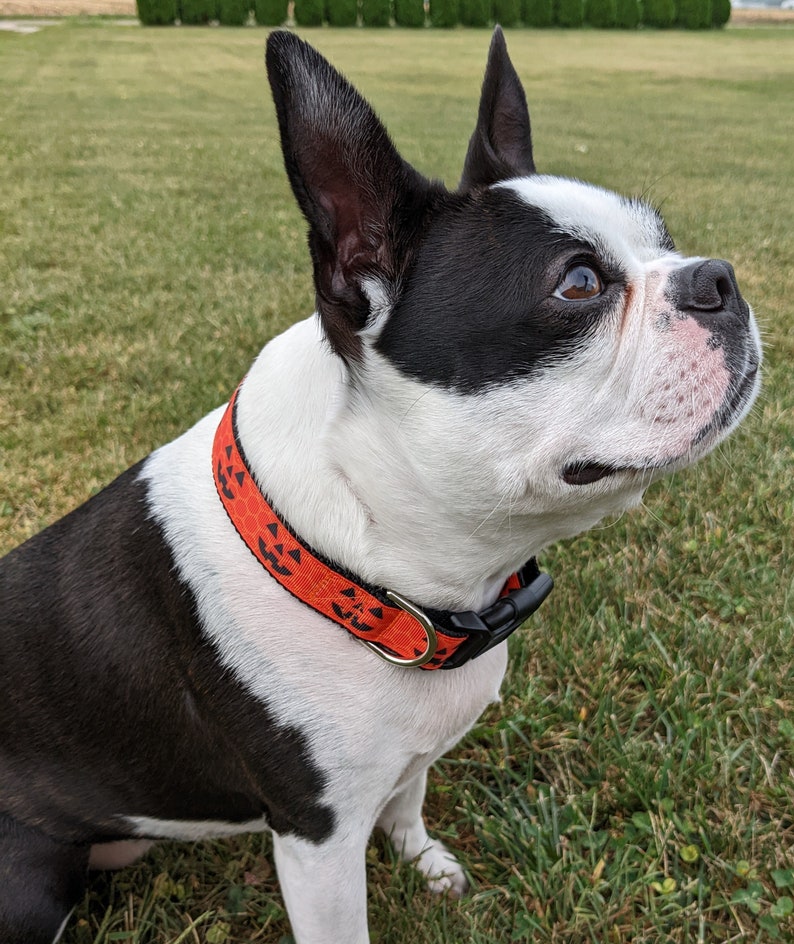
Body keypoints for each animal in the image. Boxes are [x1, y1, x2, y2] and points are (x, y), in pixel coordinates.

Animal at [0, 25, 760, 944]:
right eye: (578, 283)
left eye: (665, 238)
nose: (718, 276)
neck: (371, 569)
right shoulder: (318, 841)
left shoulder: (409, 756)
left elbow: (411, 794)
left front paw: (424, 860)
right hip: (31, 883)